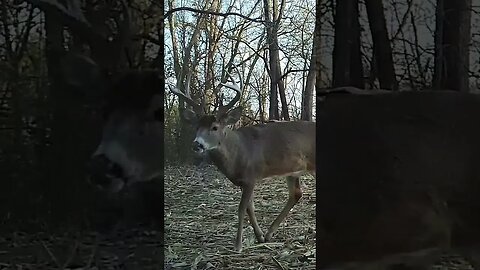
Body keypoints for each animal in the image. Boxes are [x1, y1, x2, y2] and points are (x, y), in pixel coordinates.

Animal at [169, 70, 316, 252]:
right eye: (197, 127)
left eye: (215, 127)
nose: (197, 144)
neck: (238, 152)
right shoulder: (243, 181)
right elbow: (249, 208)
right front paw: (259, 236)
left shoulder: (251, 176)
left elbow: (241, 209)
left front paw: (238, 245)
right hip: (293, 170)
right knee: (295, 194)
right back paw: (269, 233)